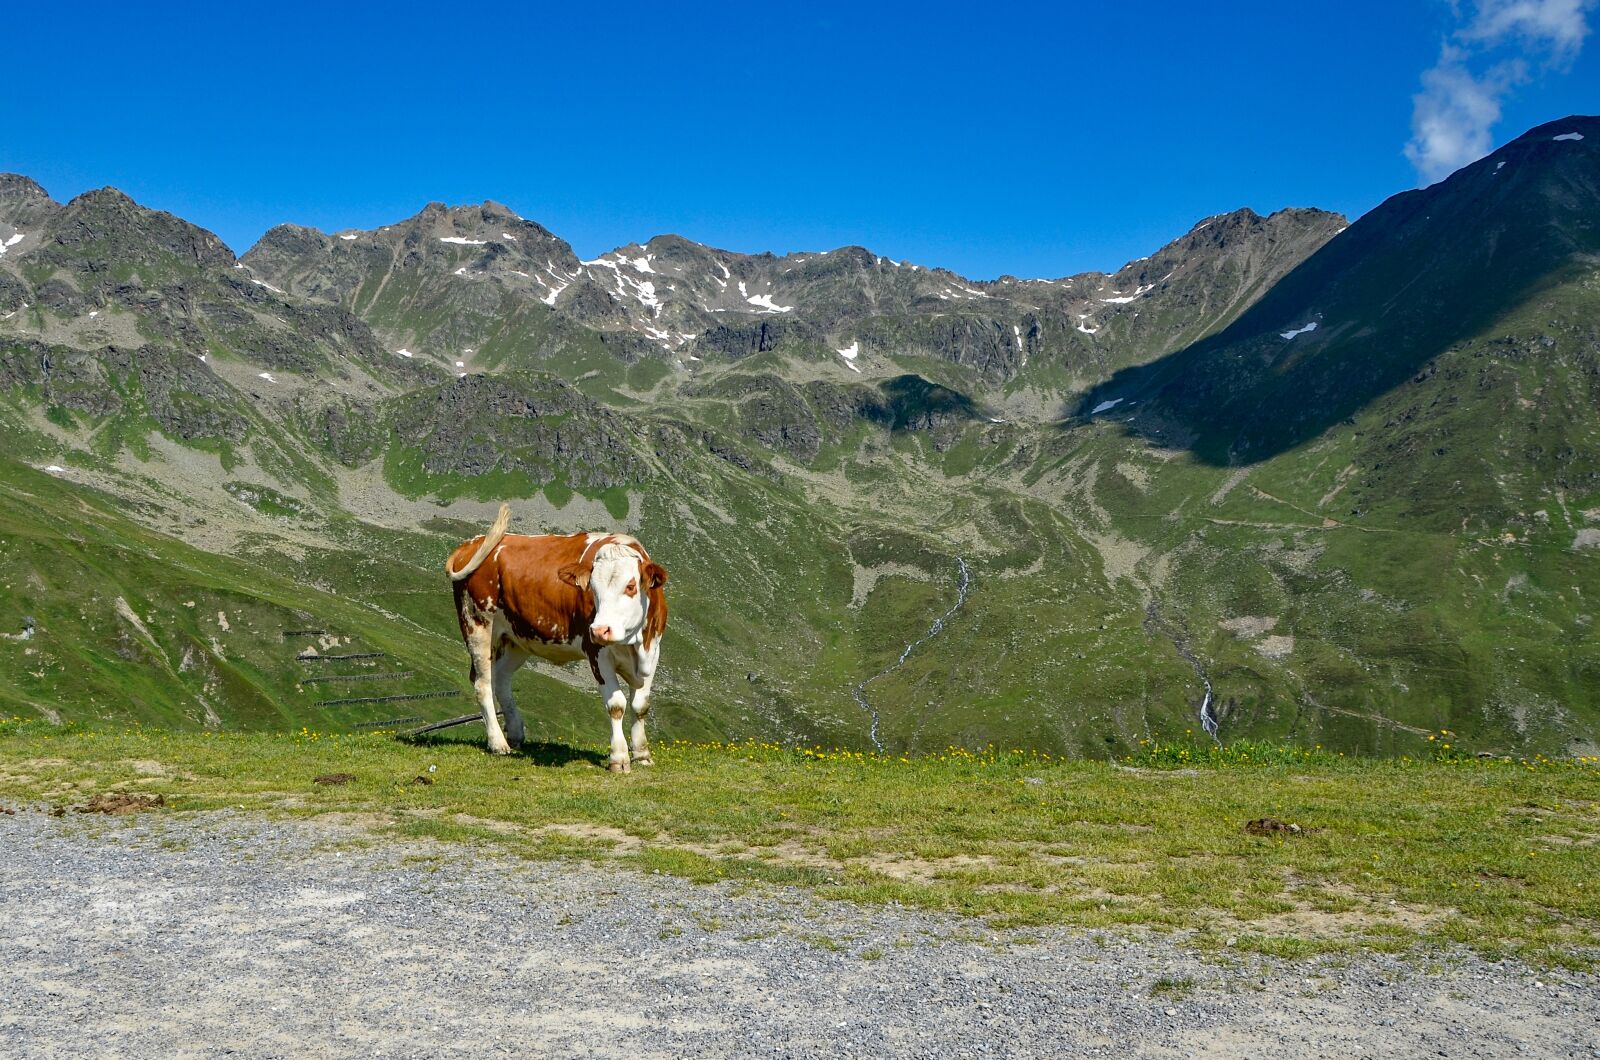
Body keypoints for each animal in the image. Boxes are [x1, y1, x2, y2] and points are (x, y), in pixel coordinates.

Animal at [445, 504, 669, 771]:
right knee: (482, 683)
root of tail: (471, 543)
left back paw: (515, 734)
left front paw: (642, 754)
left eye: (631, 586)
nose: (600, 629)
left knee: (501, 679)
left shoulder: (653, 649)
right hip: (477, 623)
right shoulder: (597, 653)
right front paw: (619, 758)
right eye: (591, 589)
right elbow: (616, 705)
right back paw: (498, 743)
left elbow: (641, 705)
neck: (634, 643)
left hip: (516, 637)